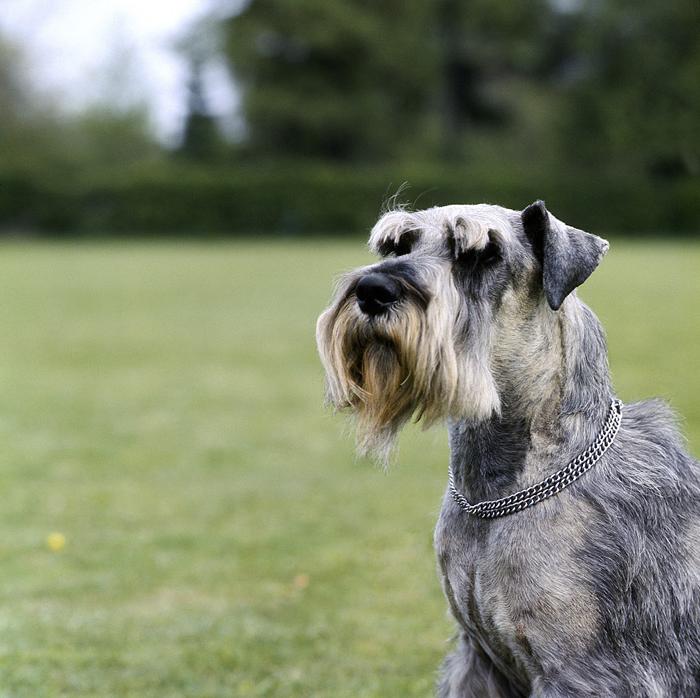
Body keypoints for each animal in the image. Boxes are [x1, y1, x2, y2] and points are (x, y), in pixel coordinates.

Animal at [318, 198, 700, 692]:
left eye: (483, 254)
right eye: (397, 244)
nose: (372, 290)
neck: (496, 496)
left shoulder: (582, 674)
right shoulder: (477, 655)